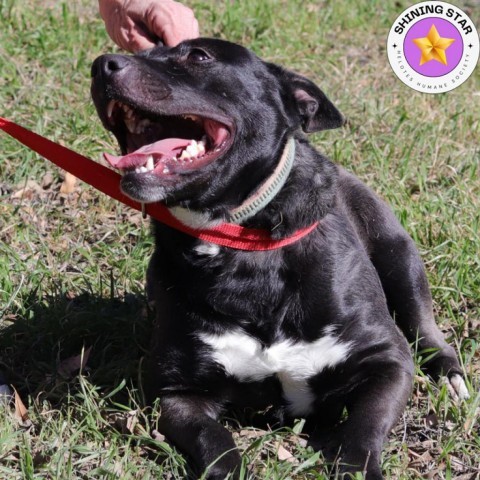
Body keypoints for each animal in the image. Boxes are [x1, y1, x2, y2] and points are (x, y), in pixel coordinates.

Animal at [91, 38, 468, 480]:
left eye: (198, 56)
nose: (101, 64)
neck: (240, 242)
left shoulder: (387, 362)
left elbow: (365, 426)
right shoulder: (179, 391)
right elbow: (212, 438)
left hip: (400, 257)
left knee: (423, 325)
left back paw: (450, 375)